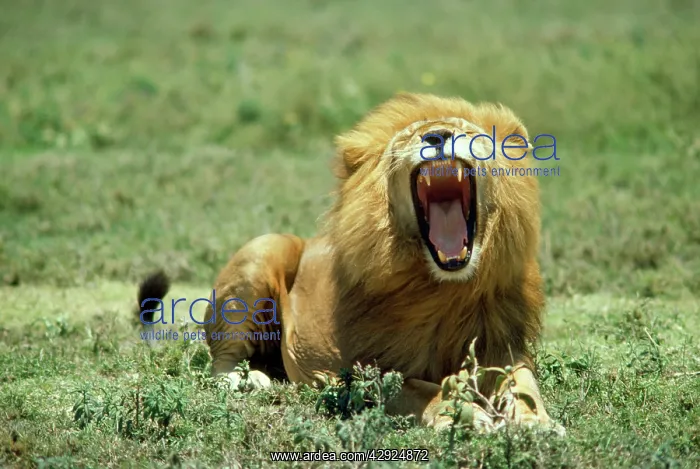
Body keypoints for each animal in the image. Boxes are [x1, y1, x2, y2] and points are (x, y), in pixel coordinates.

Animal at [137, 92, 562, 433]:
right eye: (408, 137)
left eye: (467, 131)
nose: (437, 137)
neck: (442, 286)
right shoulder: (358, 371)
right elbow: (418, 388)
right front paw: (463, 414)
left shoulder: (503, 344)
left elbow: (523, 384)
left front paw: (536, 422)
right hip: (262, 249)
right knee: (221, 362)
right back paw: (248, 380)